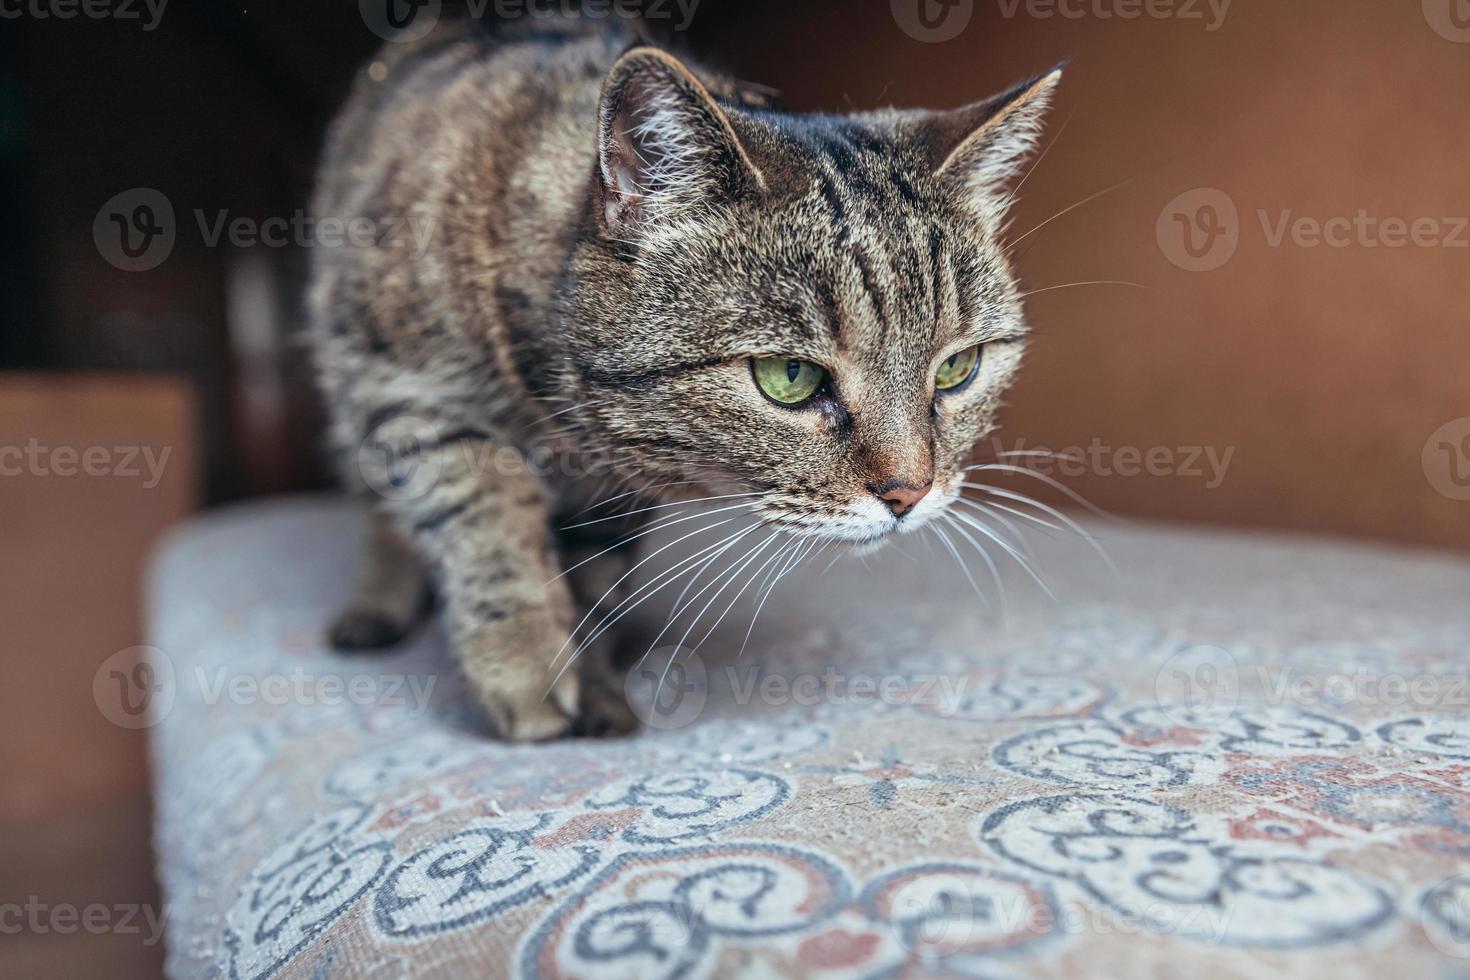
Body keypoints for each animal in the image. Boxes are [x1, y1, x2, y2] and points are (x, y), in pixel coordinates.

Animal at [313, 15, 1058, 740]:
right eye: (789, 376)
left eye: (957, 368)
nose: (909, 493)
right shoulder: (398, 388)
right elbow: (488, 512)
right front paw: (525, 666)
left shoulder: (615, 488)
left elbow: (592, 577)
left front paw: (594, 678)